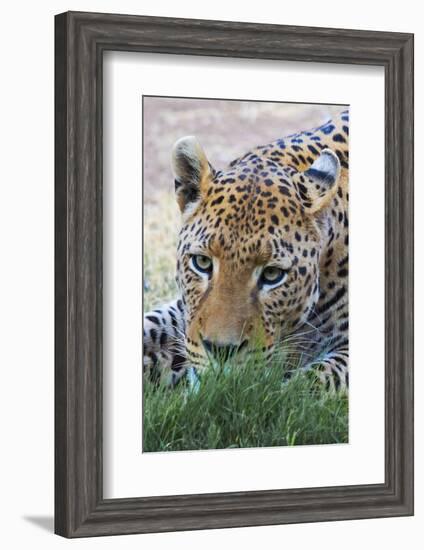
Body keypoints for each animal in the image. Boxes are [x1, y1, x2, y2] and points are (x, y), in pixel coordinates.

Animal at [144, 110, 350, 390]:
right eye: (202, 263)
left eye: (272, 275)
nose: (220, 350)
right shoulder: (183, 311)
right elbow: (151, 325)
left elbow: (306, 385)